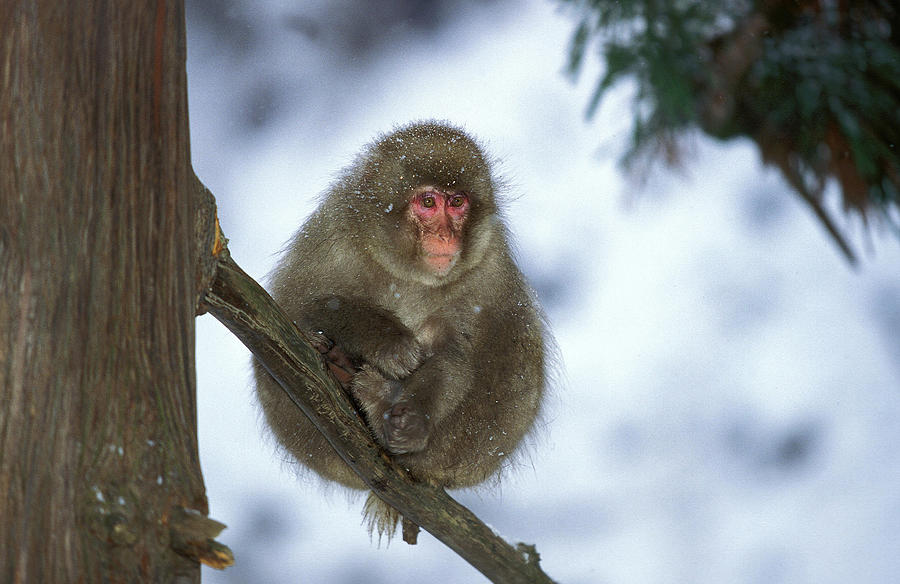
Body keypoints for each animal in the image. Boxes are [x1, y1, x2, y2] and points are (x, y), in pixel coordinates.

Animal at [251, 120, 548, 544]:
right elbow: (298, 308)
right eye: (428, 202)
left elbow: (458, 352)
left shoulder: (489, 268)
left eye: (457, 202)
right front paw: (391, 345)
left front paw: (412, 418)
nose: (445, 236)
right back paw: (342, 369)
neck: (410, 274)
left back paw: (385, 412)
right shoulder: (330, 235)